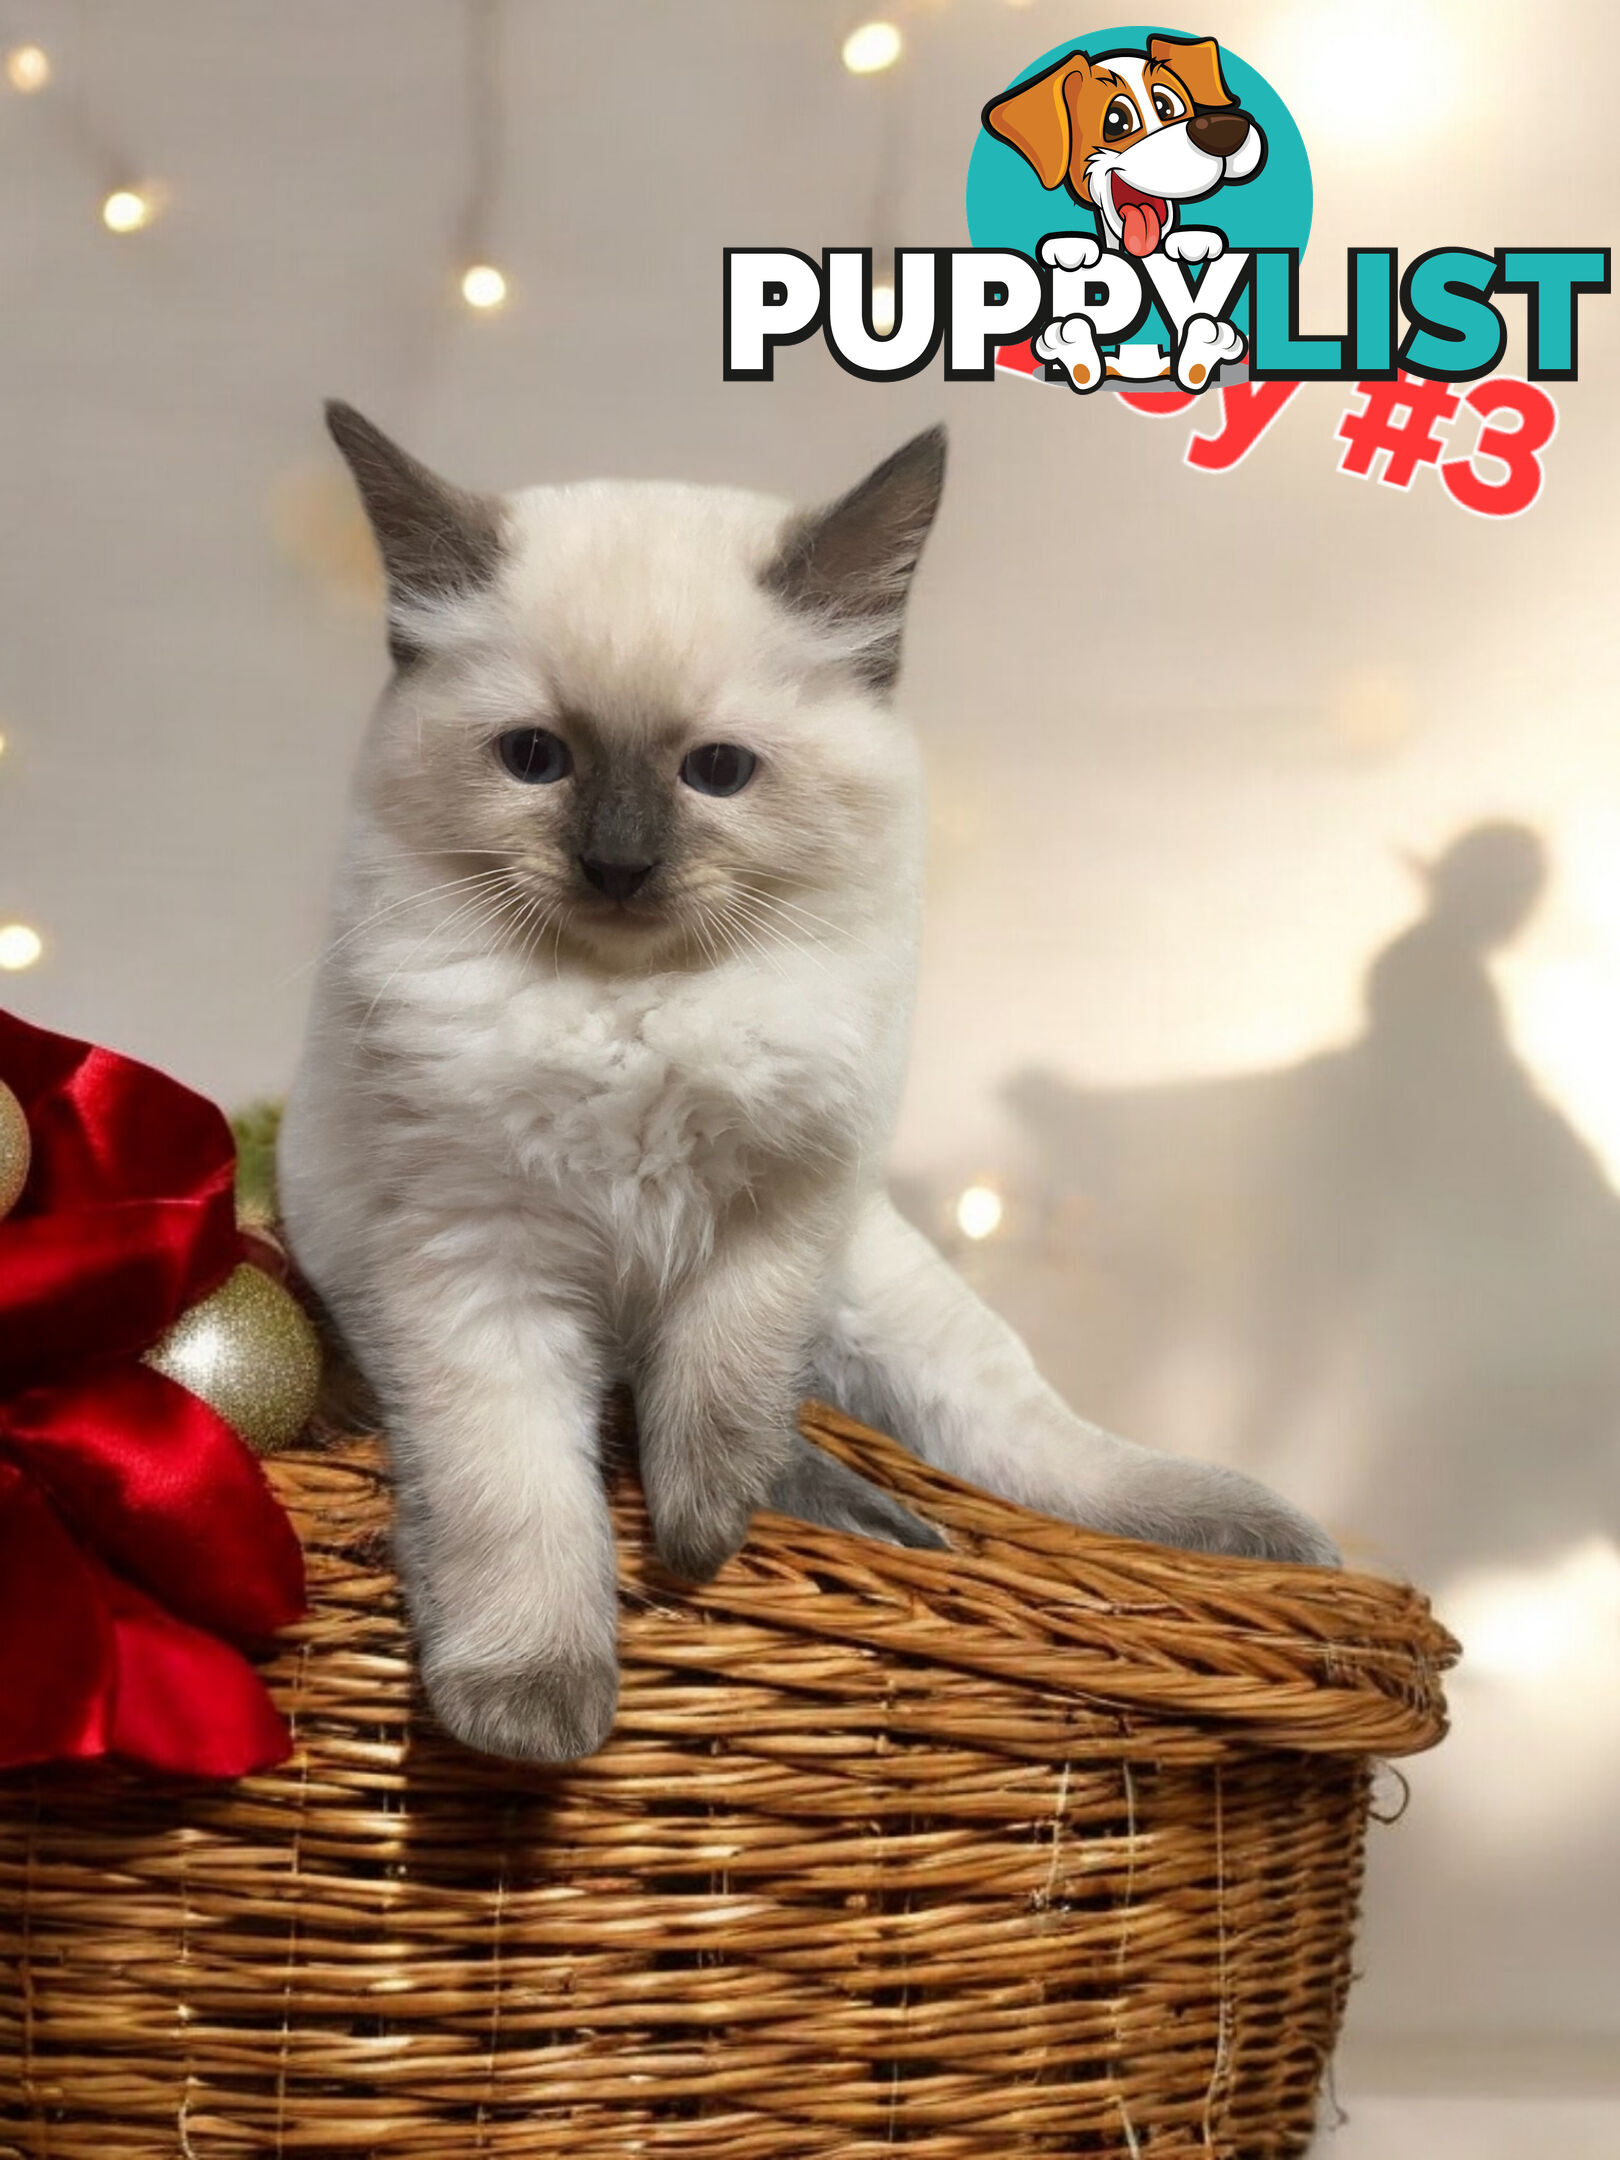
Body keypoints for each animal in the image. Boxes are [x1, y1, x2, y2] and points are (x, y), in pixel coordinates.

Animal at [278, 408, 1339, 1771]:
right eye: (536, 759)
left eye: (718, 772)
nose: (618, 866)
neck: (639, 1004)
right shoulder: (480, 1269)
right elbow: (519, 1500)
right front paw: (534, 1715)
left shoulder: (778, 1212)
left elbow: (716, 1406)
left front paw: (697, 1538)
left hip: (873, 1294)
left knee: (1017, 1444)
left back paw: (1232, 1531)